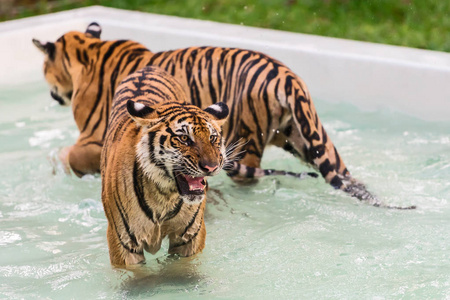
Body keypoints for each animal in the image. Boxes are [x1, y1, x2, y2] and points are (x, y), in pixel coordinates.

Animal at [34, 22, 404, 207]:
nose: (52, 93)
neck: (90, 50)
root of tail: (286, 76)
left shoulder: (94, 139)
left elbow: (68, 155)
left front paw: (55, 166)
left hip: (245, 138)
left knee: (247, 177)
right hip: (311, 140)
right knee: (347, 177)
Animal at [101, 65, 229, 264]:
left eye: (212, 138)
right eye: (184, 138)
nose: (211, 167)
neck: (163, 194)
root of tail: (148, 67)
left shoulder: (189, 237)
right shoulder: (123, 241)